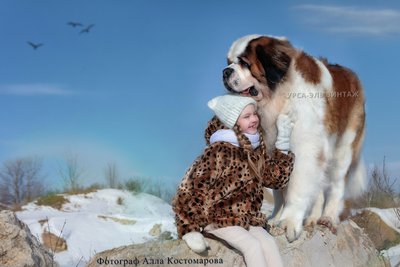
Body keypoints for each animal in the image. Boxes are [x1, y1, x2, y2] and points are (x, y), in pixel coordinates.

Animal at [223, 34, 368, 242]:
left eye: (244, 63)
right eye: (228, 62)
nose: (225, 71)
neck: (278, 97)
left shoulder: (305, 148)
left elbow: (296, 188)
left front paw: (288, 222)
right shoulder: (271, 149)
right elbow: (279, 191)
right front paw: (276, 217)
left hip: (344, 147)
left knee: (337, 184)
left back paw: (328, 218)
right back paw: (313, 218)